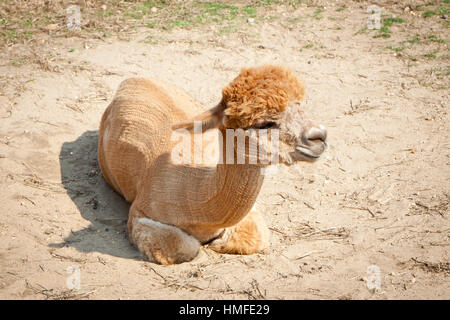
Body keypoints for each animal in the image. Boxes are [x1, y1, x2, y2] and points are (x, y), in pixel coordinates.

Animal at [98, 65, 326, 264]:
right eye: (264, 123)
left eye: (302, 107)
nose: (320, 137)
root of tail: (133, 79)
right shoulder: (140, 215)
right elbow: (185, 249)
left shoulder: (252, 214)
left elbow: (256, 237)